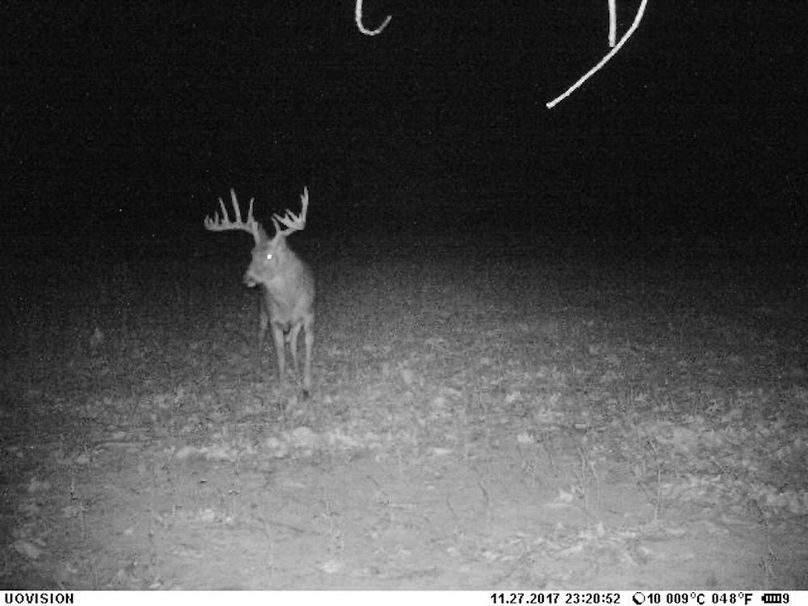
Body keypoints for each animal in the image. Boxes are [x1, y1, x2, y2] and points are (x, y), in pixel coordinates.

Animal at [204, 187, 315, 398]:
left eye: (270, 256)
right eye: (252, 254)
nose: (247, 278)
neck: (288, 302)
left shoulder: (308, 315)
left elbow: (305, 348)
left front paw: (305, 386)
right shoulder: (274, 320)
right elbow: (280, 356)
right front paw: (282, 391)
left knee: (292, 344)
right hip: (262, 312)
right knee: (260, 337)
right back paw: (258, 370)